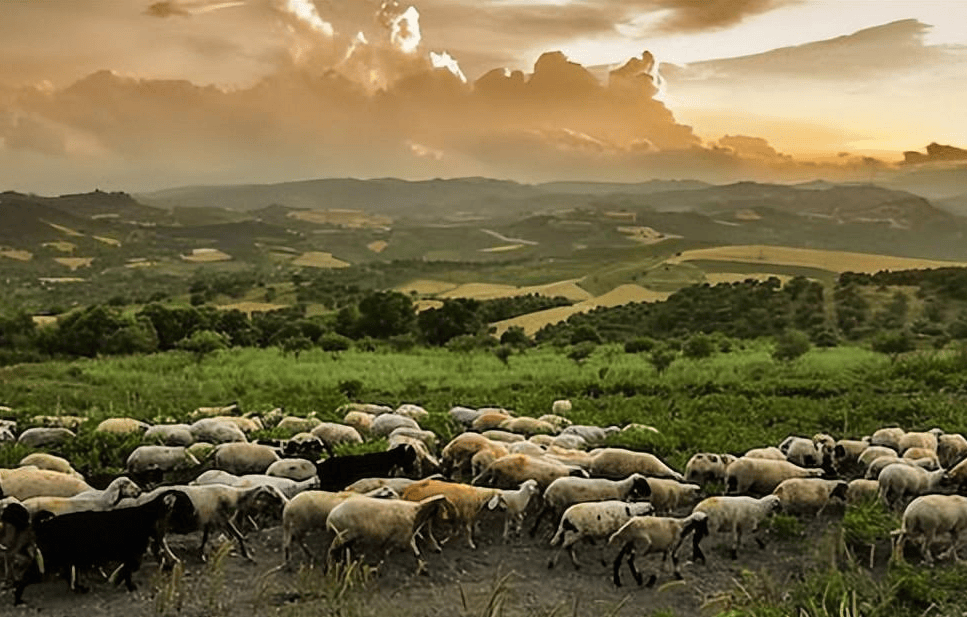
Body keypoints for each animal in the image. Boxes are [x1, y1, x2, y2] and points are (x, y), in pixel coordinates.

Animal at [328, 490, 456, 572]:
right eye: (446, 506)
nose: (439, 550)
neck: (415, 513)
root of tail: (331, 516)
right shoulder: (402, 538)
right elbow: (413, 553)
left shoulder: (399, 538)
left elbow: (414, 553)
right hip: (343, 535)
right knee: (332, 549)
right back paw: (331, 565)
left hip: (349, 537)